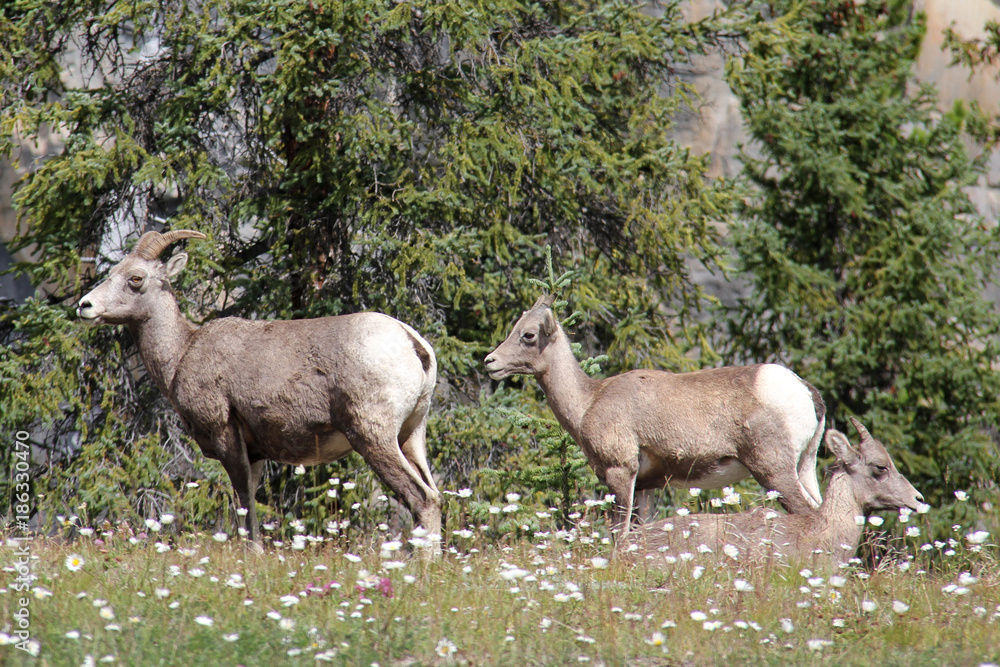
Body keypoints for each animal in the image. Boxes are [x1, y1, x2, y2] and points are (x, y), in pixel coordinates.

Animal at [77, 229, 442, 551]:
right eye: (113, 273)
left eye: (136, 279)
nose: (85, 306)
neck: (181, 354)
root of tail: (412, 343)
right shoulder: (255, 454)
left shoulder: (227, 436)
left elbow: (245, 506)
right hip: (411, 437)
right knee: (435, 498)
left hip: (373, 438)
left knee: (422, 500)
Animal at [484, 294, 827, 542]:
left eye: (528, 335)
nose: (490, 362)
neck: (587, 402)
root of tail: (806, 392)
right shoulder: (645, 486)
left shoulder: (621, 472)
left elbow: (620, 536)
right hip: (804, 467)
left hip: (773, 471)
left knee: (808, 515)